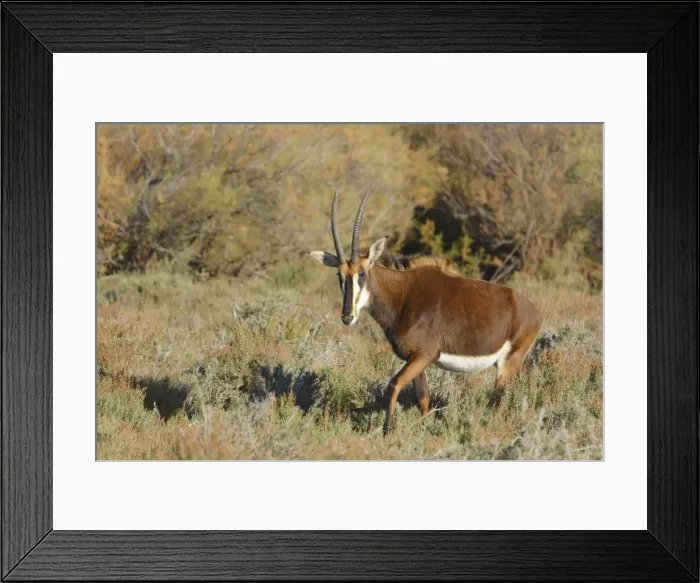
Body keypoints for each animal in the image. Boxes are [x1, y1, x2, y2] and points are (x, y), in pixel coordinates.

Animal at [310, 187, 542, 433]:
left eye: (361, 273)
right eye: (339, 274)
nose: (348, 316)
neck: (404, 296)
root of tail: (535, 311)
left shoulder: (425, 355)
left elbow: (393, 384)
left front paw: (387, 430)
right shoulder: (415, 358)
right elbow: (422, 397)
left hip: (509, 362)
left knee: (499, 398)